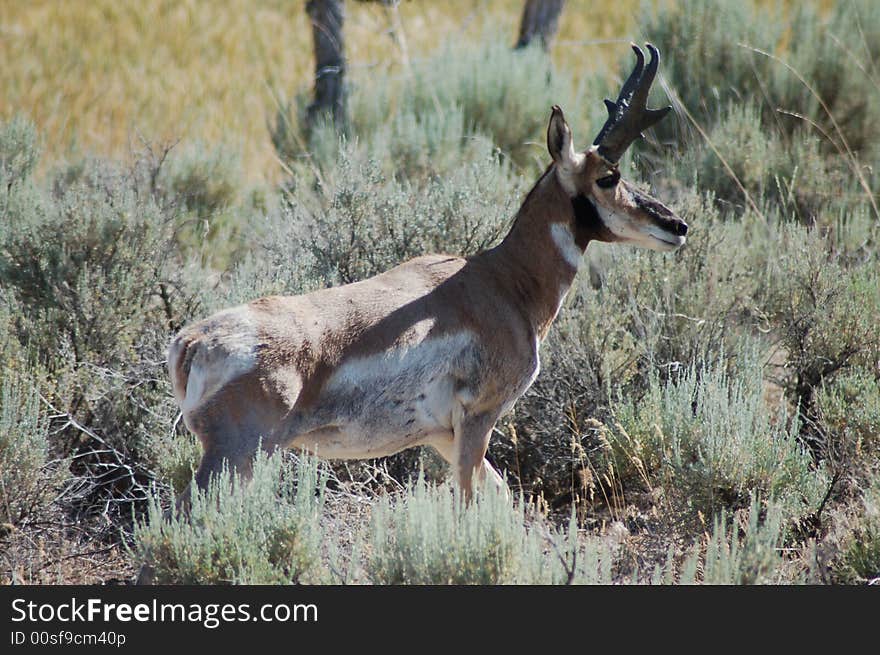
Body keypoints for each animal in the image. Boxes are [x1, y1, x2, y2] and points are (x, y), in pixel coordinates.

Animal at [167, 44, 688, 502]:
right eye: (608, 176)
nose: (677, 226)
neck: (502, 282)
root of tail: (193, 340)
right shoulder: (478, 420)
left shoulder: (441, 435)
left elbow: (504, 499)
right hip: (236, 457)